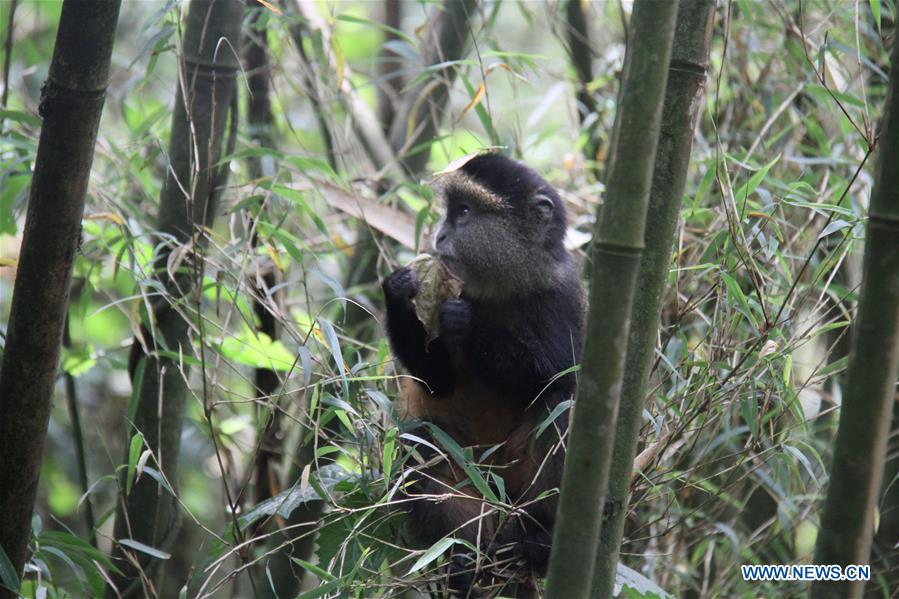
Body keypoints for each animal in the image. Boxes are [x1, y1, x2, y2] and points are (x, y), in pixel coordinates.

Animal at [382, 153, 584, 594]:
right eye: (451, 211)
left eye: (464, 212)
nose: (439, 235)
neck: (504, 286)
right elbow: (436, 383)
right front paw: (398, 288)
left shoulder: (564, 296)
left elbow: (561, 375)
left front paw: (467, 323)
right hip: (475, 476)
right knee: (424, 444)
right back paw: (468, 559)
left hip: (518, 483)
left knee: (562, 406)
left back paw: (538, 544)